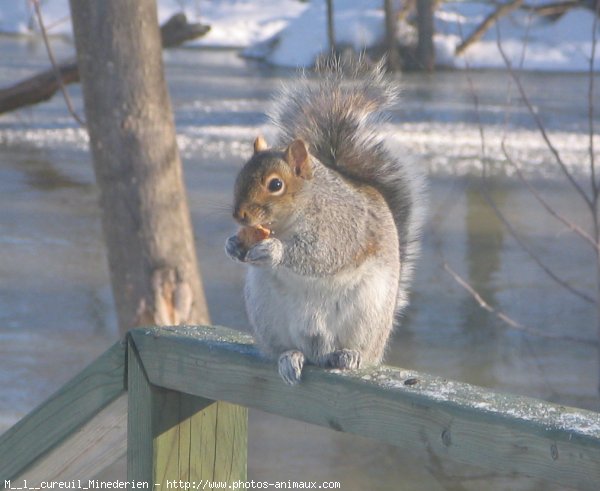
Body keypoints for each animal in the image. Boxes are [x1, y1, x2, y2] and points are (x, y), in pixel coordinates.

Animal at [225, 57, 426, 386]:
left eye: (275, 185)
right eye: (240, 175)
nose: (238, 216)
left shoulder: (342, 227)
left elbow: (321, 255)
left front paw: (274, 250)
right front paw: (231, 244)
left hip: (367, 315)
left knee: (354, 350)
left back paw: (348, 355)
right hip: (267, 314)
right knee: (289, 348)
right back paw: (290, 357)